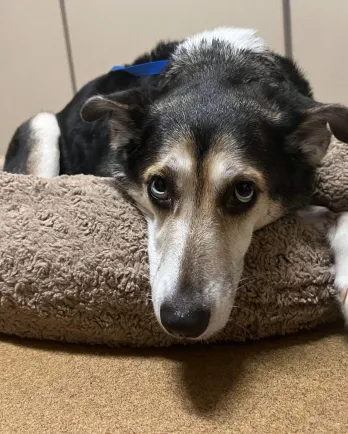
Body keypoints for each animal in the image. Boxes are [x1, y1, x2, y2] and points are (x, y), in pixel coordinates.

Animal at [3, 28, 348, 340]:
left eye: (243, 191)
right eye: (159, 186)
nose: (183, 321)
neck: (219, 64)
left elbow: (337, 214)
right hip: (42, 124)